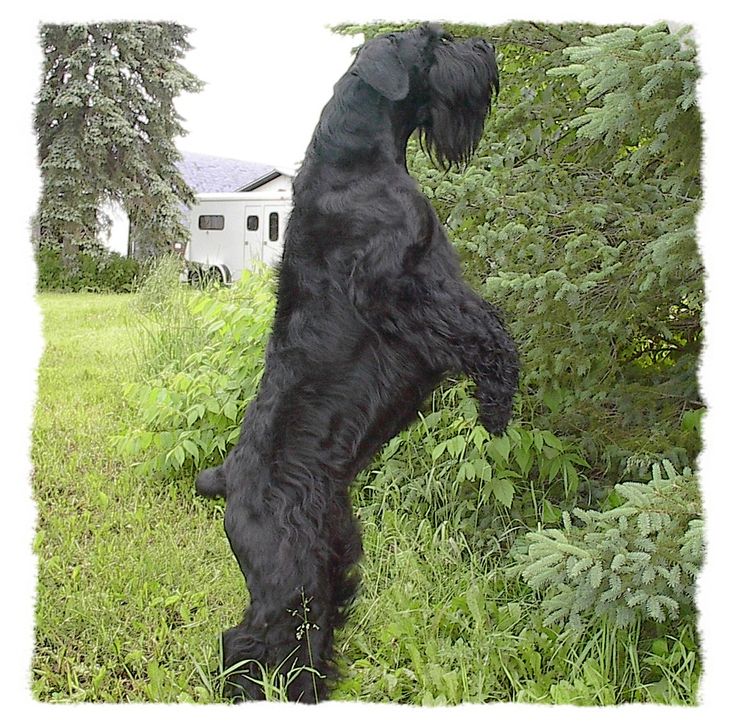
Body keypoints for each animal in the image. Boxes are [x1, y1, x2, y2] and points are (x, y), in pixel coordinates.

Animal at [196, 24, 516, 704]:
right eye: (434, 40)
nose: (484, 51)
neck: (356, 161)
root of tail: (226, 479)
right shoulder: (405, 291)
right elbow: (483, 328)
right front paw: (498, 398)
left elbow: (483, 317)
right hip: (289, 578)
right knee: (246, 642)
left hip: (331, 561)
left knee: (300, 638)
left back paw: (317, 689)